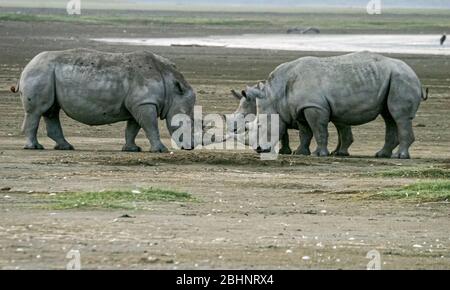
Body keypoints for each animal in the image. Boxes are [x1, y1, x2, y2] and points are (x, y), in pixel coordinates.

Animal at [10, 48, 196, 152]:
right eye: (186, 124)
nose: (191, 147)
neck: (172, 87)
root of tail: (27, 66)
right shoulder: (144, 102)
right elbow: (151, 127)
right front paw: (160, 150)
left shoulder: (139, 103)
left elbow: (133, 128)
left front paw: (132, 149)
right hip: (40, 72)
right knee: (36, 112)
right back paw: (35, 148)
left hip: (46, 74)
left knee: (51, 111)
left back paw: (66, 147)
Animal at [241, 51, 428, 159]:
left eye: (259, 126)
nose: (258, 149)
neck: (277, 96)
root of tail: (416, 75)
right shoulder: (300, 108)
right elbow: (305, 132)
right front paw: (300, 153)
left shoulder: (314, 106)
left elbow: (318, 130)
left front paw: (319, 154)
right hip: (394, 78)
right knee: (389, 117)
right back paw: (381, 155)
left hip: (402, 78)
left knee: (399, 116)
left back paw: (400, 157)